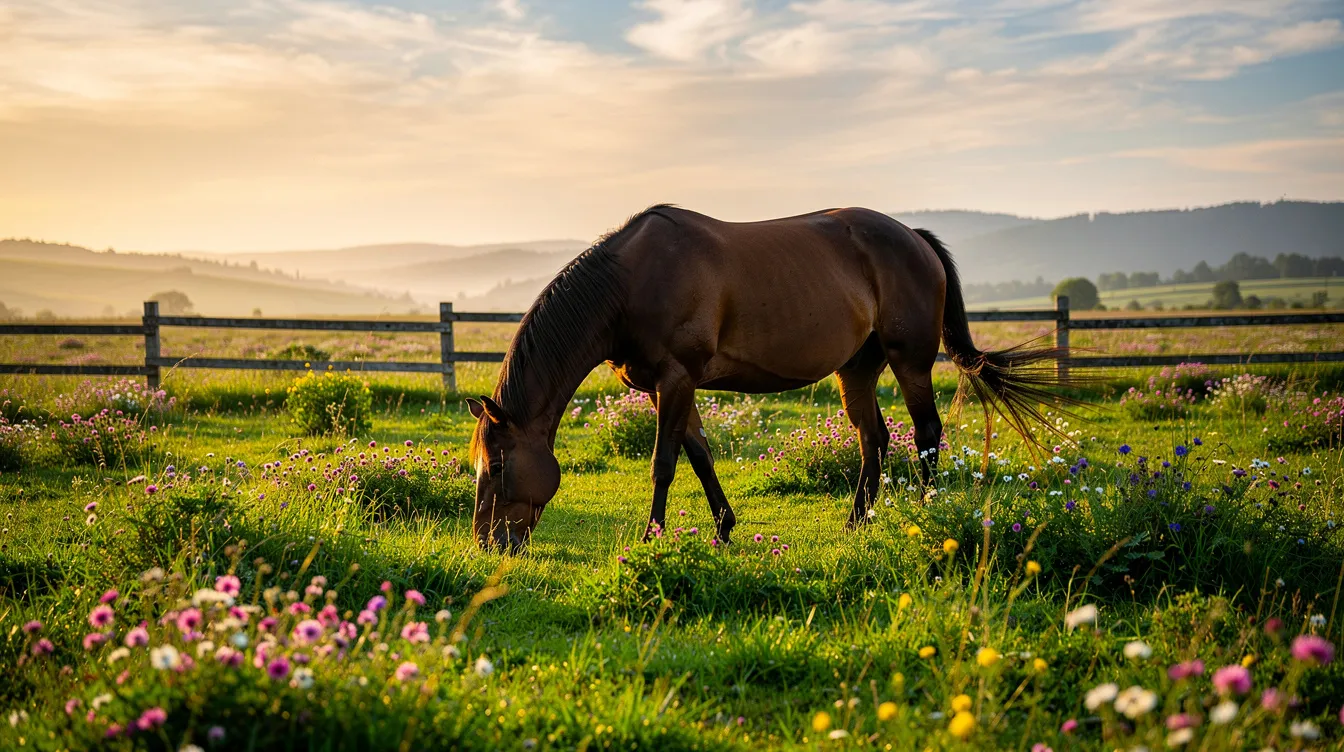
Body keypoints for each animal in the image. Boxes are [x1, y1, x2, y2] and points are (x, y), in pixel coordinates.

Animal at [467, 205, 1068, 553]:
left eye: (496, 465)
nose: (488, 542)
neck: (629, 283)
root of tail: (916, 239)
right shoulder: (670, 385)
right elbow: (700, 454)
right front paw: (723, 527)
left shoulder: (676, 378)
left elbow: (664, 463)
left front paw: (651, 538)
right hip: (858, 368)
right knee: (874, 438)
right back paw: (858, 521)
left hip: (912, 362)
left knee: (925, 434)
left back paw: (924, 514)